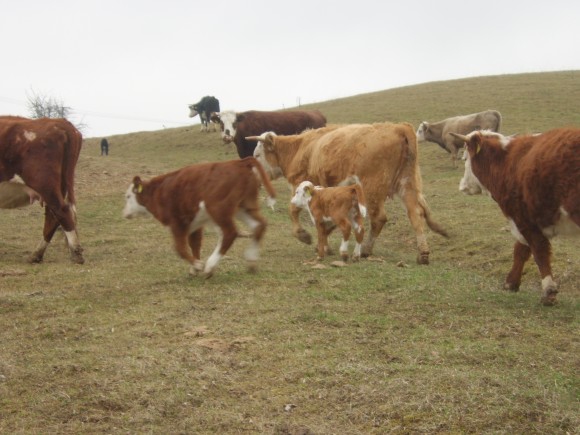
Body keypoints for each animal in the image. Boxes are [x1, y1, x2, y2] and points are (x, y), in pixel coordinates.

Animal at [0, 116, 84, 264]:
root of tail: (59, 121)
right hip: (60, 186)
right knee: (53, 215)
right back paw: (37, 254)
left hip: (45, 184)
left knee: (61, 211)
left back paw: (75, 253)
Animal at [123, 158, 276, 278]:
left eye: (128, 196)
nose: (124, 213)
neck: (158, 192)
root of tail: (240, 162)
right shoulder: (194, 224)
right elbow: (194, 244)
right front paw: (193, 269)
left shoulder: (177, 222)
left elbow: (180, 248)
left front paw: (198, 265)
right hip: (244, 207)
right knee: (258, 225)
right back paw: (251, 262)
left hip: (218, 209)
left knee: (230, 233)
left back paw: (210, 266)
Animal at [249, 122, 448, 266]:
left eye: (257, 155)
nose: (255, 177)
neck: (300, 148)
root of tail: (398, 127)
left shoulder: (302, 185)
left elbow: (294, 210)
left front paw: (305, 236)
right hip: (407, 184)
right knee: (415, 214)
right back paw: (423, 253)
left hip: (372, 189)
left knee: (379, 218)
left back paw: (365, 249)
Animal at [454, 129, 580, 306]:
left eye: (465, 158)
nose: (462, 186)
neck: (505, 162)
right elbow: (521, 251)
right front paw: (511, 282)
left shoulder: (522, 219)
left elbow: (539, 251)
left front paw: (548, 291)